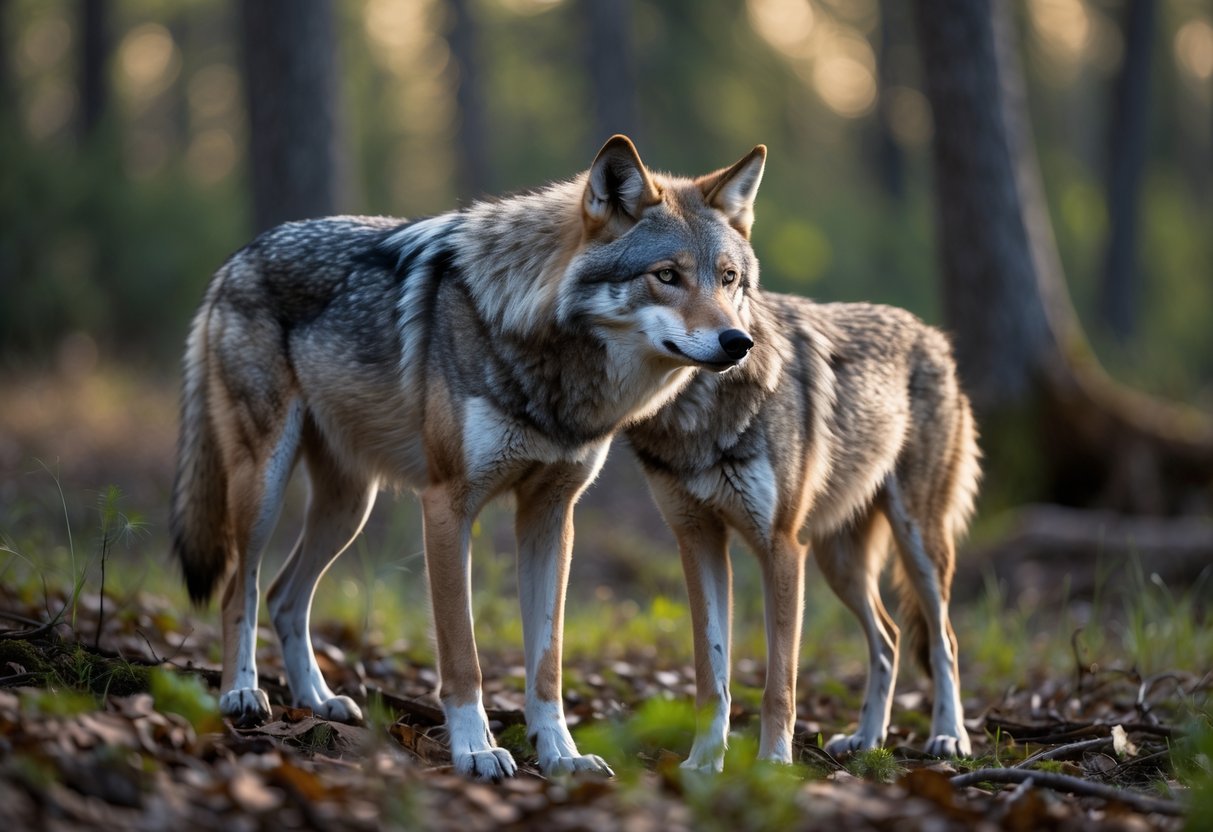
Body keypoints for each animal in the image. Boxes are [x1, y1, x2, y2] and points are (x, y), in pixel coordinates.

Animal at [170, 135, 767, 781]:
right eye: (667, 276)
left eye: (729, 279)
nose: (738, 342)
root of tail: (239, 256)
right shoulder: (446, 506)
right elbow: (463, 656)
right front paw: (476, 750)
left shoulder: (551, 516)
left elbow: (547, 666)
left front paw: (562, 755)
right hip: (266, 486)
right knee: (241, 588)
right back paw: (241, 693)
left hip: (349, 508)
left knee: (284, 597)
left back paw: (317, 700)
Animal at [626, 294, 980, 771]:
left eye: (728, 283)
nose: (736, 343)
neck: (695, 416)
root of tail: (932, 335)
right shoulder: (697, 539)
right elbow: (711, 675)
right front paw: (703, 763)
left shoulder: (781, 548)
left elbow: (779, 685)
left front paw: (773, 763)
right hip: (841, 567)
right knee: (889, 639)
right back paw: (867, 739)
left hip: (918, 545)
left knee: (945, 642)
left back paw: (949, 736)